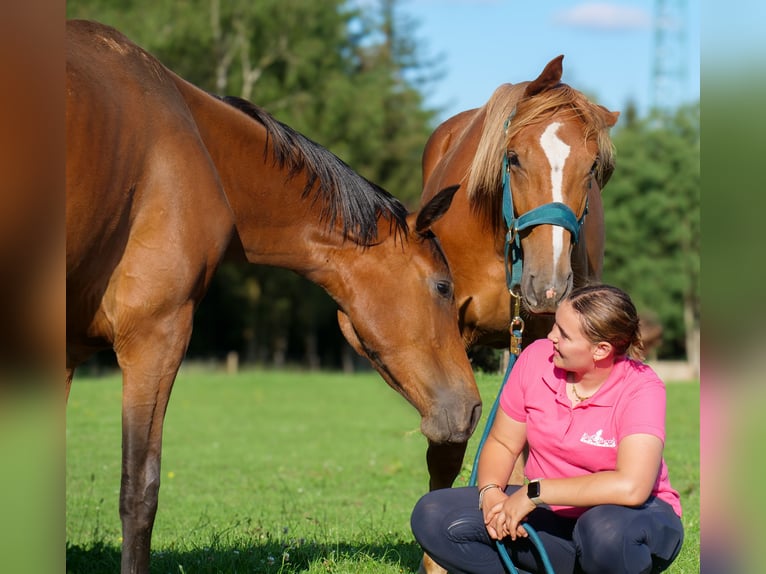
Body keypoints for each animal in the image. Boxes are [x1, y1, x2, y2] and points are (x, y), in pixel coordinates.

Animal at [416, 56, 620, 572]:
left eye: (591, 168)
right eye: (513, 159)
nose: (548, 286)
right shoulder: (450, 339)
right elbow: (447, 449)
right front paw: (435, 561)